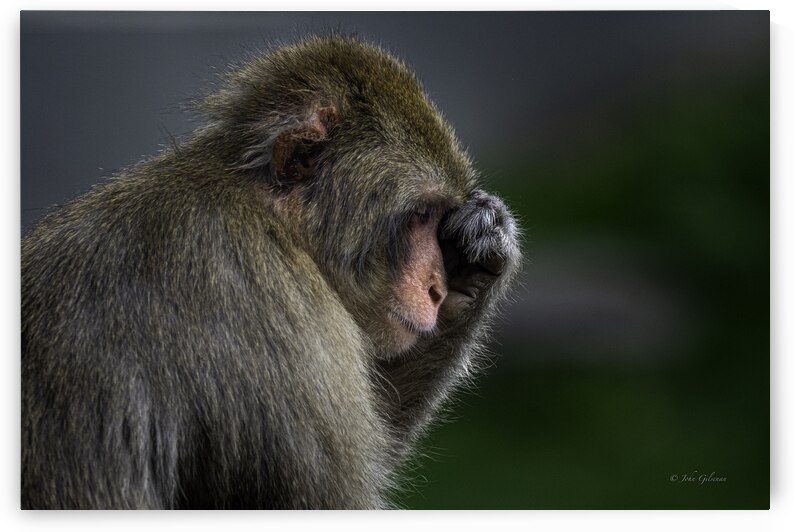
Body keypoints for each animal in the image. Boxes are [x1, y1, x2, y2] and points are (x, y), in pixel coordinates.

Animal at [21, 35, 520, 509]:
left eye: (439, 223)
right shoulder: (282, 306)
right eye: (421, 214)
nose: (436, 288)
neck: (269, 216)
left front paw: (479, 257)